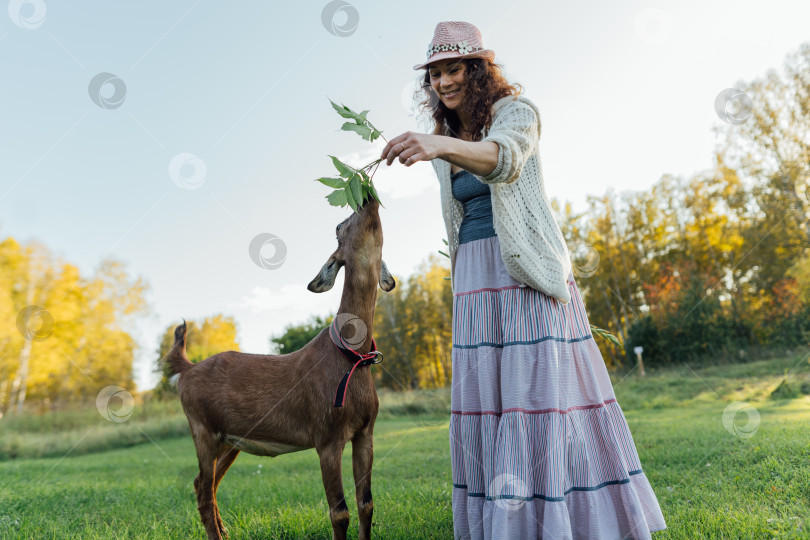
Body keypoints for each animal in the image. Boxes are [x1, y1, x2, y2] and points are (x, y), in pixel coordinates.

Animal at [164, 197, 394, 540]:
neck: (349, 356)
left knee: (205, 485)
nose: (367, 198)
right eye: (339, 224)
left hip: (230, 440)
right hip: (202, 429)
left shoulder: (365, 432)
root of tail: (187, 369)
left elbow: (366, 504)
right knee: (204, 489)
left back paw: (226, 531)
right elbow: (339, 512)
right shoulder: (326, 435)